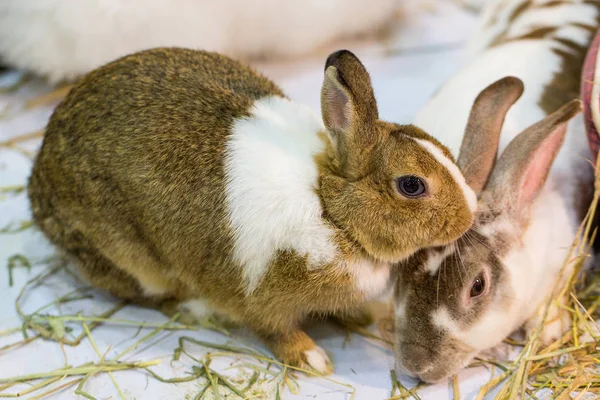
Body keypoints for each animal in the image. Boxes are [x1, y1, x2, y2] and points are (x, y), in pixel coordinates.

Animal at [28, 47, 476, 376]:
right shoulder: (262, 297)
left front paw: (368, 316)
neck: (330, 210)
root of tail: (38, 187)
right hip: (129, 255)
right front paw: (313, 359)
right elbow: (275, 330)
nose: (470, 214)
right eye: (411, 185)